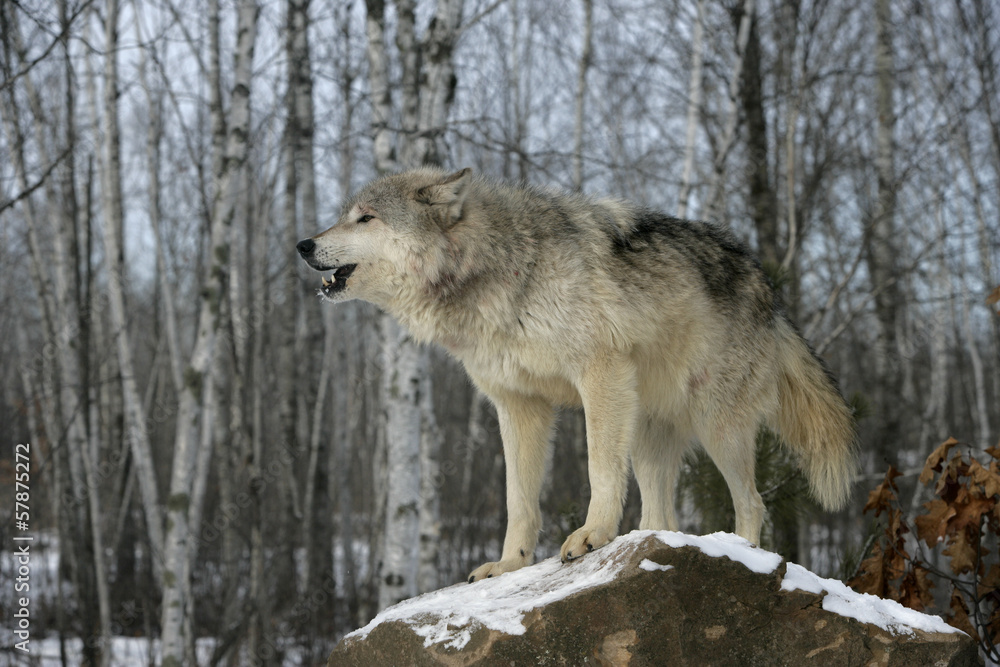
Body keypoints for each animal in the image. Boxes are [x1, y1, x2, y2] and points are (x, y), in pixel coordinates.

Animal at [296, 167, 856, 582]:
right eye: (344, 216)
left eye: (365, 218)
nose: (303, 244)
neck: (500, 267)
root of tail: (772, 293)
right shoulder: (517, 405)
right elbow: (518, 500)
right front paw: (510, 564)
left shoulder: (599, 374)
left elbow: (597, 468)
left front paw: (592, 535)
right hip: (649, 436)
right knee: (663, 519)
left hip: (717, 426)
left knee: (753, 504)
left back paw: (743, 554)